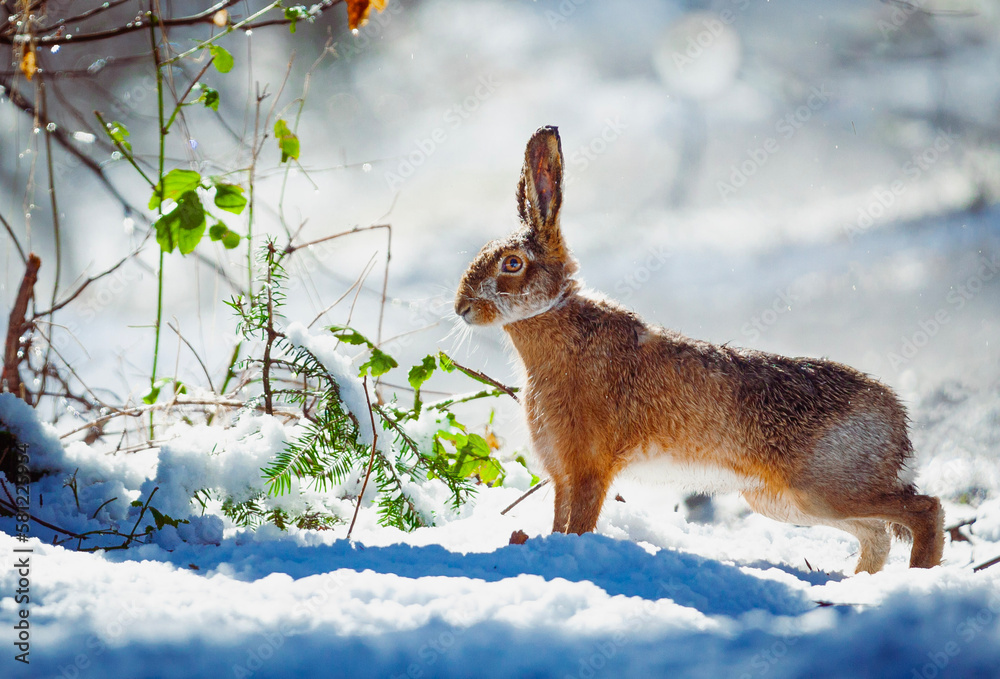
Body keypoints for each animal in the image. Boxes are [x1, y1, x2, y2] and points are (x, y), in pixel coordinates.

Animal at [454, 125, 944, 574]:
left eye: (512, 264)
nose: (462, 308)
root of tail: (899, 422)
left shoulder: (590, 467)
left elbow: (579, 523)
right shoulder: (562, 473)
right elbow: (560, 520)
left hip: (824, 487)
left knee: (925, 509)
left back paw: (917, 576)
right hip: (785, 501)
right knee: (877, 533)